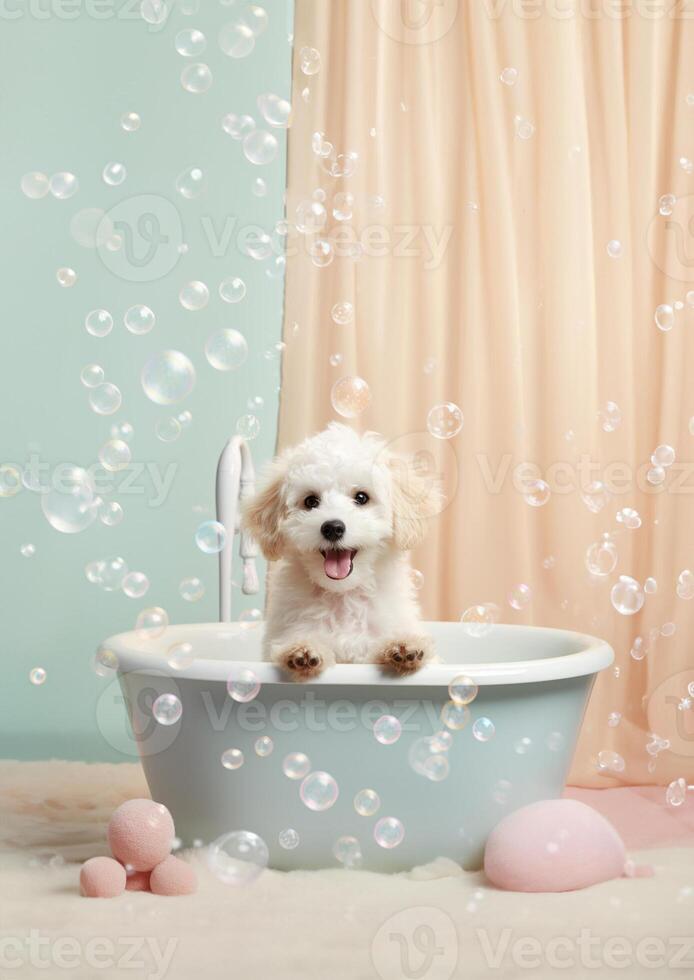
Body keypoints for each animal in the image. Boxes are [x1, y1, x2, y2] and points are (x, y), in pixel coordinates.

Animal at [245, 422, 440, 680]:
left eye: (361, 497)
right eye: (311, 501)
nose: (333, 528)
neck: (343, 596)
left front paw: (403, 646)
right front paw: (303, 650)